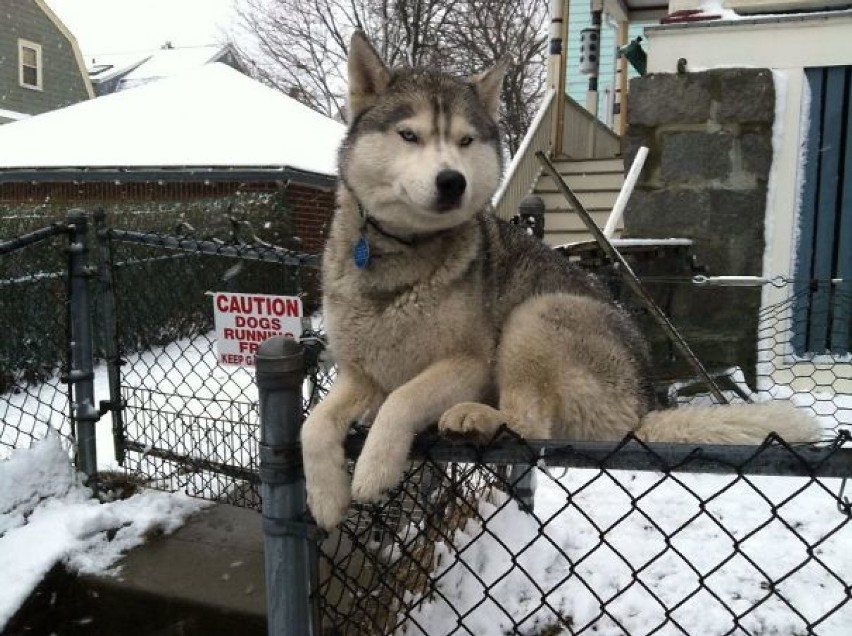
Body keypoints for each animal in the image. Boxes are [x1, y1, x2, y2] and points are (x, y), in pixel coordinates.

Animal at [302, 32, 824, 528]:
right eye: (408, 135)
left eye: (466, 141)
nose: (452, 181)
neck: (397, 253)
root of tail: (641, 408)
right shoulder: (360, 373)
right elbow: (313, 425)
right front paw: (325, 499)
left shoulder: (470, 364)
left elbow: (403, 398)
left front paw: (374, 469)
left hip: (538, 314)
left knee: (531, 426)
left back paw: (478, 418)